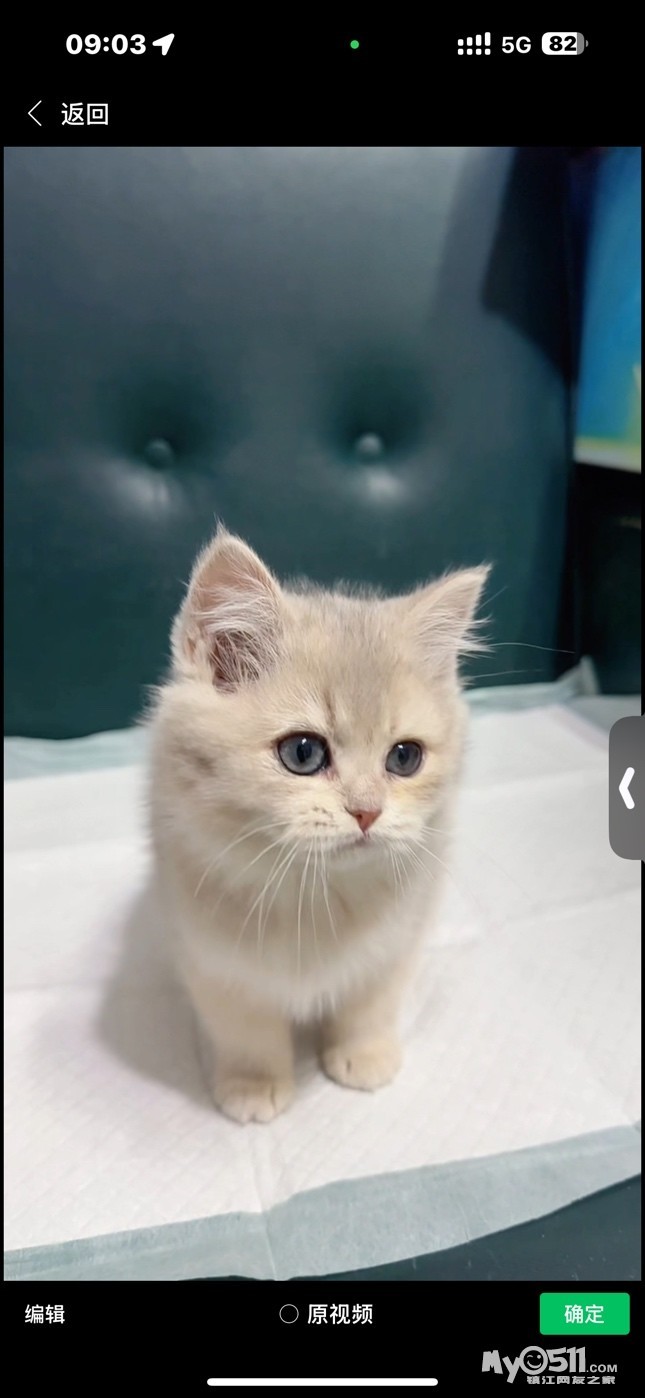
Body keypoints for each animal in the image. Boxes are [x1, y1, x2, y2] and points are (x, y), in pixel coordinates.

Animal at [148, 525, 489, 1124]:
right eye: (303, 753)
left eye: (405, 758)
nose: (367, 810)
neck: (315, 896)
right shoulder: (213, 959)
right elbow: (246, 1029)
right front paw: (254, 1085)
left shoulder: (396, 943)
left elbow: (370, 1004)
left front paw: (364, 1056)